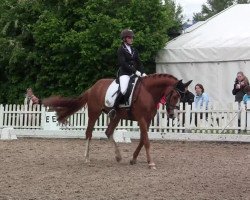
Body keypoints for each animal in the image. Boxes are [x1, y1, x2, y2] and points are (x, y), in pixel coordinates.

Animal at [43, 73, 191, 169]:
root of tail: (93, 87)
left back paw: (118, 157)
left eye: (181, 97)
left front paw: (133, 159)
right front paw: (151, 163)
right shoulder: (142, 119)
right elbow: (146, 141)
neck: (148, 92)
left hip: (116, 116)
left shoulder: (147, 121)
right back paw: (87, 158)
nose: (172, 114)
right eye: (175, 96)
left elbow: (142, 139)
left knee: (108, 132)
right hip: (94, 113)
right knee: (89, 133)